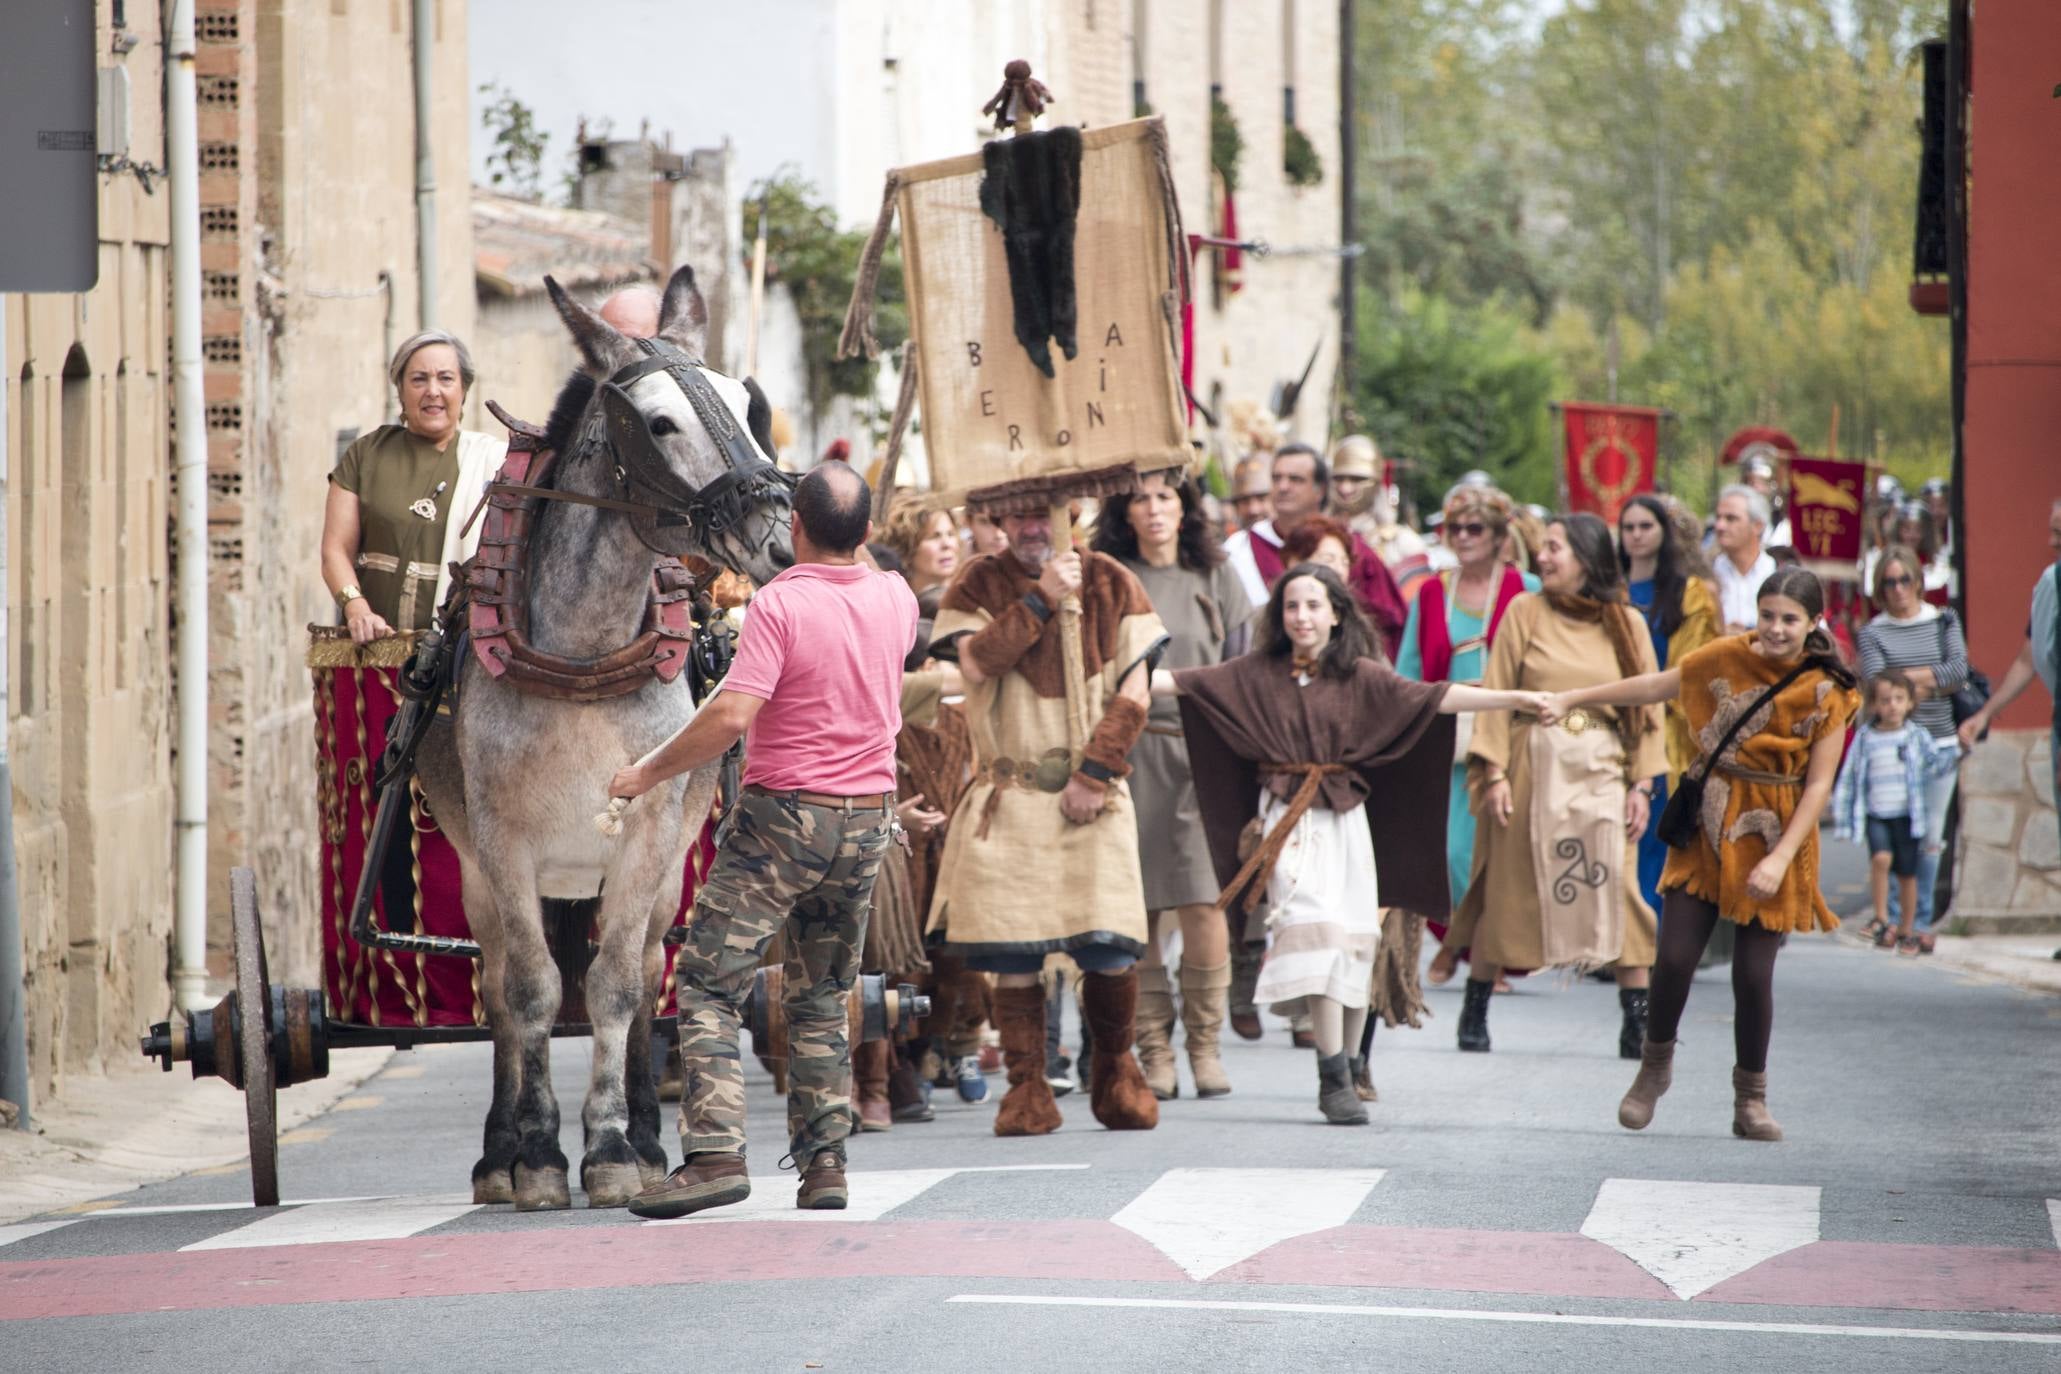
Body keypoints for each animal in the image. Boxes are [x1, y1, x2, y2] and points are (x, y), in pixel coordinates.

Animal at [414, 263, 791, 1211]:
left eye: (745, 402)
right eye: (656, 423)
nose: (775, 535)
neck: (582, 656)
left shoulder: (651, 836)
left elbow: (617, 987)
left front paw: (617, 1146)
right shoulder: (503, 845)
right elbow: (531, 992)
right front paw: (539, 1156)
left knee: (649, 972)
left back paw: (652, 1137)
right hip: (479, 872)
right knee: (500, 985)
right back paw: (500, 1150)